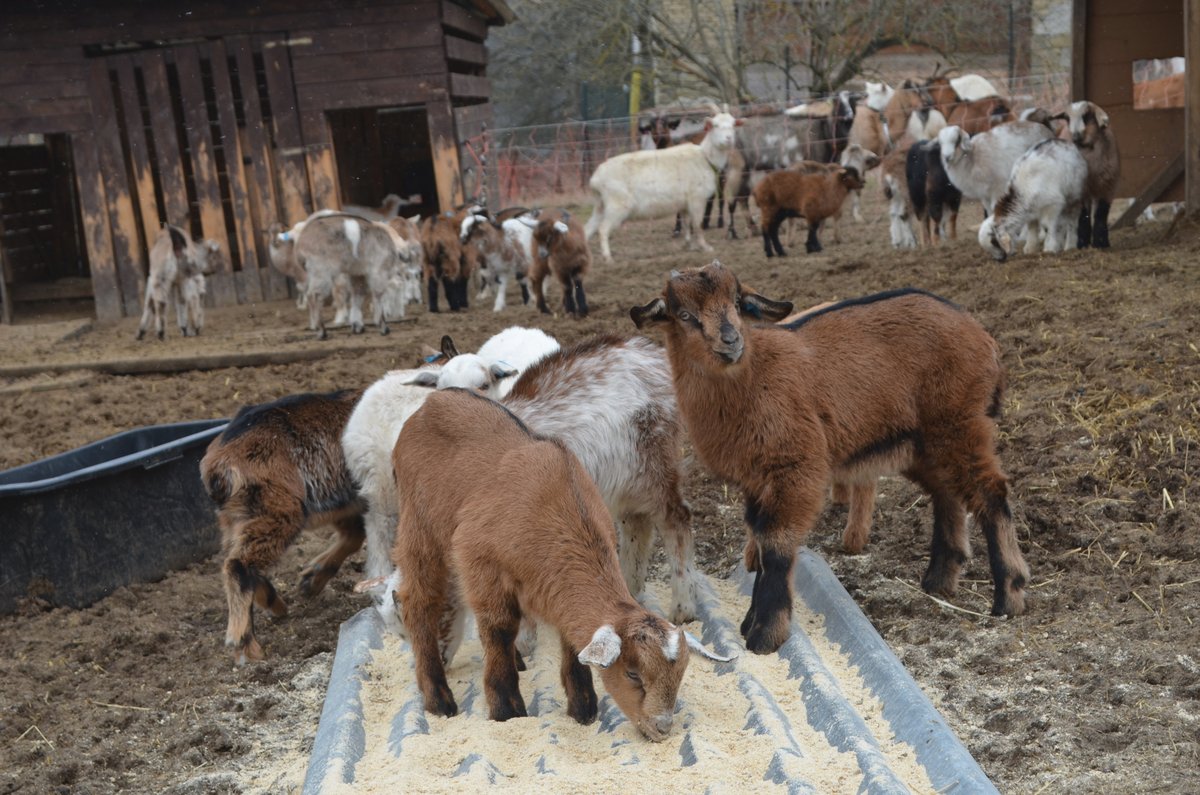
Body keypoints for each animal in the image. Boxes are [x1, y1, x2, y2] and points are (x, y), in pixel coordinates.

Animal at [201, 389, 364, 662]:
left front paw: (310, 580)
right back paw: (246, 646)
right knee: (237, 564)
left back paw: (280, 598)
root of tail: (218, 465)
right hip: (281, 511)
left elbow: (356, 535)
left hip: (238, 516)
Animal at [393, 391, 729, 739]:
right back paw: (438, 699)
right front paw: (506, 711)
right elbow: (499, 628)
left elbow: (570, 636)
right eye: (633, 674)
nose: (661, 728)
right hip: (418, 526)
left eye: (680, 676)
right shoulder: (480, 562)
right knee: (417, 603)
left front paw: (583, 708)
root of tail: (433, 400)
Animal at [583, 112, 739, 262]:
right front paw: (705, 247)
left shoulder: (685, 203)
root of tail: (595, 179)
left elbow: (686, 224)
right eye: (715, 125)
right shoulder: (697, 199)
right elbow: (697, 225)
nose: (729, 138)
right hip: (618, 205)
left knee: (587, 230)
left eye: (732, 125)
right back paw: (607, 257)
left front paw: (690, 245)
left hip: (601, 206)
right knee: (603, 229)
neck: (705, 157)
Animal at [633, 261, 1036, 653]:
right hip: (924, 441)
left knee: (990, 492)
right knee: (946, 492)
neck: (751, 377)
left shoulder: (796, 466)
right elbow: (759, 539)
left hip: (960, 423)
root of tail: (980, 333)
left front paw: (765, 634)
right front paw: (752, 622)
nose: (731, 342)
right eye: (684, 315)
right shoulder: (755, 479)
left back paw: (1008, 595)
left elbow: (775, 542)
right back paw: (939, 580)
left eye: (735, 302)